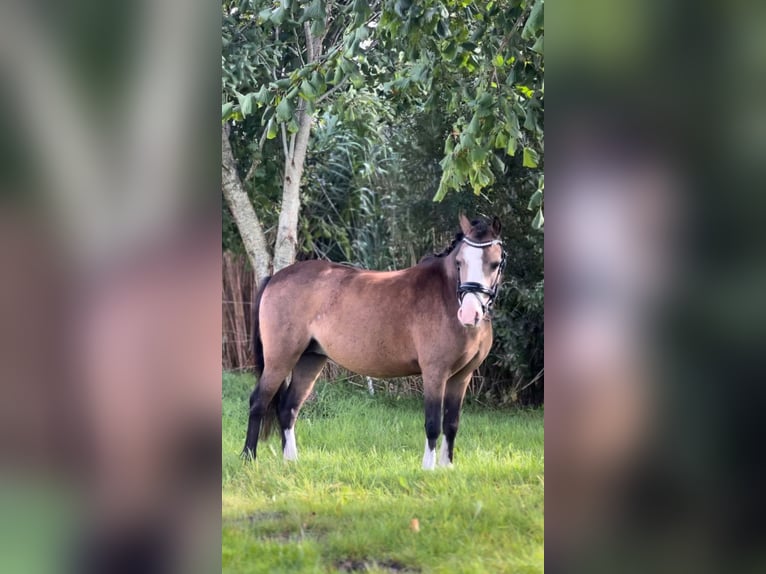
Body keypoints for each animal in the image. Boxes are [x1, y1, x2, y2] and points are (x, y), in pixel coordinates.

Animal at [243, 214, 508, 470]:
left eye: (495, 264)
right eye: (460, 262)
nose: (469, 314)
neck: (446, 295)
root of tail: (275, 278)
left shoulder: (462, 376)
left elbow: (452, 424)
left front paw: (447, 468)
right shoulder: (435, 373)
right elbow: (433, 423)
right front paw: (428, 469)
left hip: (310, 360)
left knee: (288, 408)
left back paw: (291, 462)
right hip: (280, 359)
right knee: (259, 402)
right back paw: (248, 458)